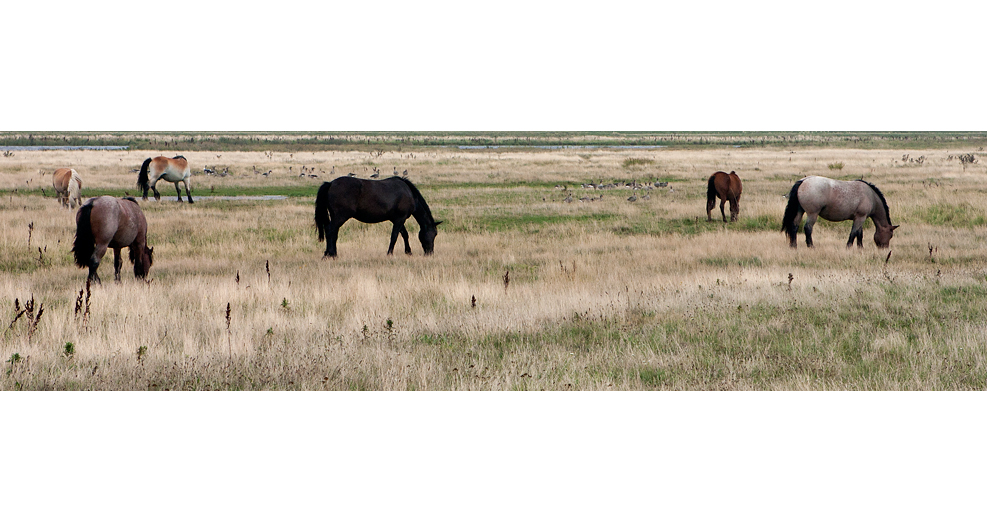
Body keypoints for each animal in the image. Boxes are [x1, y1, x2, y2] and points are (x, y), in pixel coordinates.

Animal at [314, 177, 442, 258]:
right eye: (434, 234)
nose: (430, 253)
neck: (408, 193)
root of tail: (331, 183)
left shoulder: (397, 219)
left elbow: (404, 234)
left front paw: (408, 252)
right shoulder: (400, 219)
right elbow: (394, 236)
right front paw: (390, 253)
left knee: (333, 233)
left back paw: (330, 253)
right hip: (340, 216)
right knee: (330, 230)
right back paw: (331, 254)